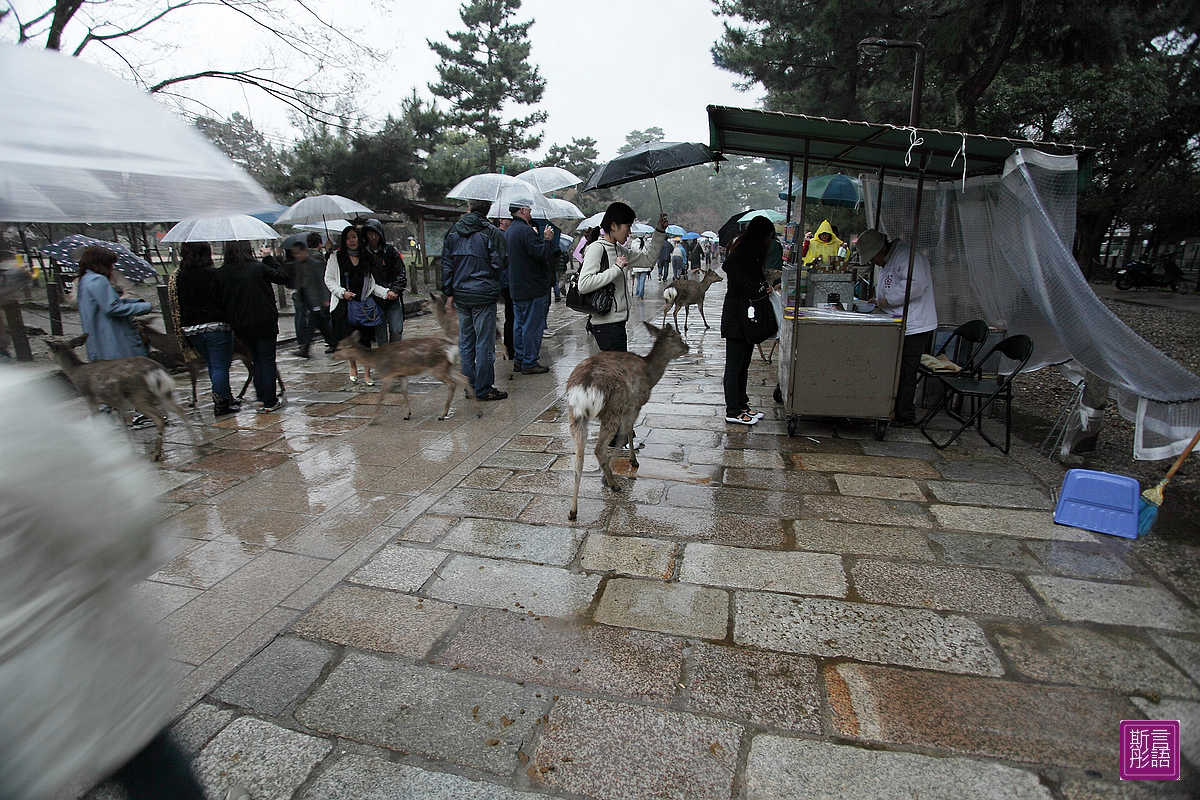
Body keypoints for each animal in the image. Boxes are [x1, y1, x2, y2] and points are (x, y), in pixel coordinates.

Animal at [43, 333, 199, 462]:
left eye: (49, 349)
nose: (46, 354)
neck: (75, 373)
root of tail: (157, 372)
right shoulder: (118, 403)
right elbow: (123, 423)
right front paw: (130, 449)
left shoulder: (90, 397)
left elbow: (97, 422)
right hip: (164, 394)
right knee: (180, 411)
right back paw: (195, 441)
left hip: (138, 396)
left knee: (159, 418)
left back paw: (156, 454)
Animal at [566, 321, 691, 522]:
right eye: (678, 336)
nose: (687, 347)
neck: (650, 374)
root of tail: (584, 387)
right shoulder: (635, 404)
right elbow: (626, 434)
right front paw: (632, 462)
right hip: (613, 408)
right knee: (599, 448)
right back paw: (614, 484)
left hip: (576, 416)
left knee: (579, 459)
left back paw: (572, 511)